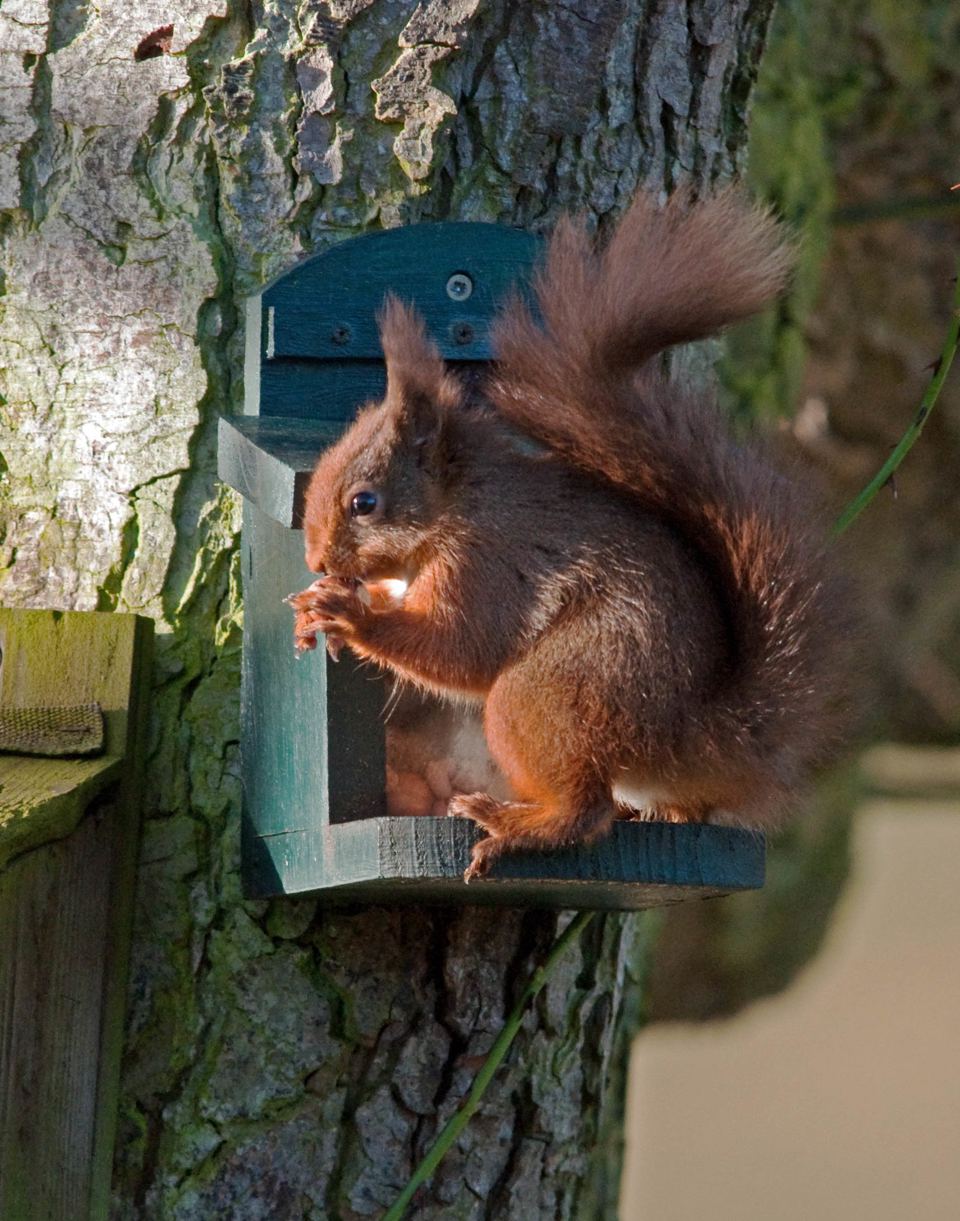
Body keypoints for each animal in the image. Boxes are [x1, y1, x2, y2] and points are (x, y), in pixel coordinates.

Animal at [288, 187, 851, 881]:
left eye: (363, 503)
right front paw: (318, 606)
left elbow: (461, 648)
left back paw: (514, 825)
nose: (316, 558)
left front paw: (352, 614)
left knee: (586, 810)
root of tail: (693, 733)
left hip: (553, 693)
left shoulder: (485, 561)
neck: (456, 505)